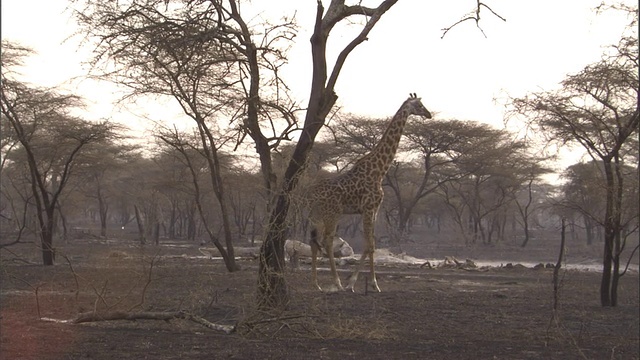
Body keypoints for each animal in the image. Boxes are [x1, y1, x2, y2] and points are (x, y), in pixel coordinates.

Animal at [308, 93, 432, 292]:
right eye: (419, 105)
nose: (429, 114)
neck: (379, 170)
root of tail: (311, 195)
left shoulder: (374, 210)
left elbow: (370, 245)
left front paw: (364, 282)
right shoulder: (368, 208)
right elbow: (370, 246)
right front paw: (362, 283)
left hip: (317, 216)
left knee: (314, 242)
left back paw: (316, 284)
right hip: (332, 214)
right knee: (326, 242)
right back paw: (337, 283)